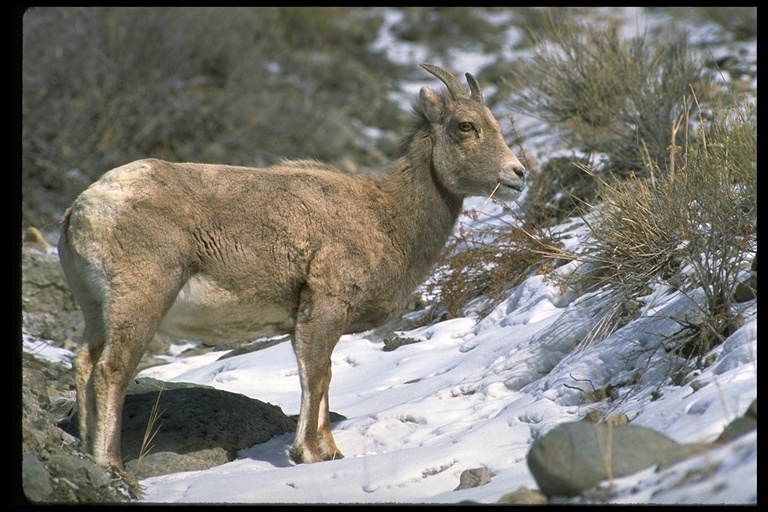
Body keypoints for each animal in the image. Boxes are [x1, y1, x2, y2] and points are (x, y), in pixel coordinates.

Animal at [58, 62, 528, 470]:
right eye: (465, 126)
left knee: (84, 363)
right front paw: (310, 454)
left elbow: (326, 377)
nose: (518, 174)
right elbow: (315, 376)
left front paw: (331, 452)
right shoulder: (324, 308)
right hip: (141, 300)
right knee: (112, 369)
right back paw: (112, 465)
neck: (385, 215)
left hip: (97, 310)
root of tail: (84, 208)